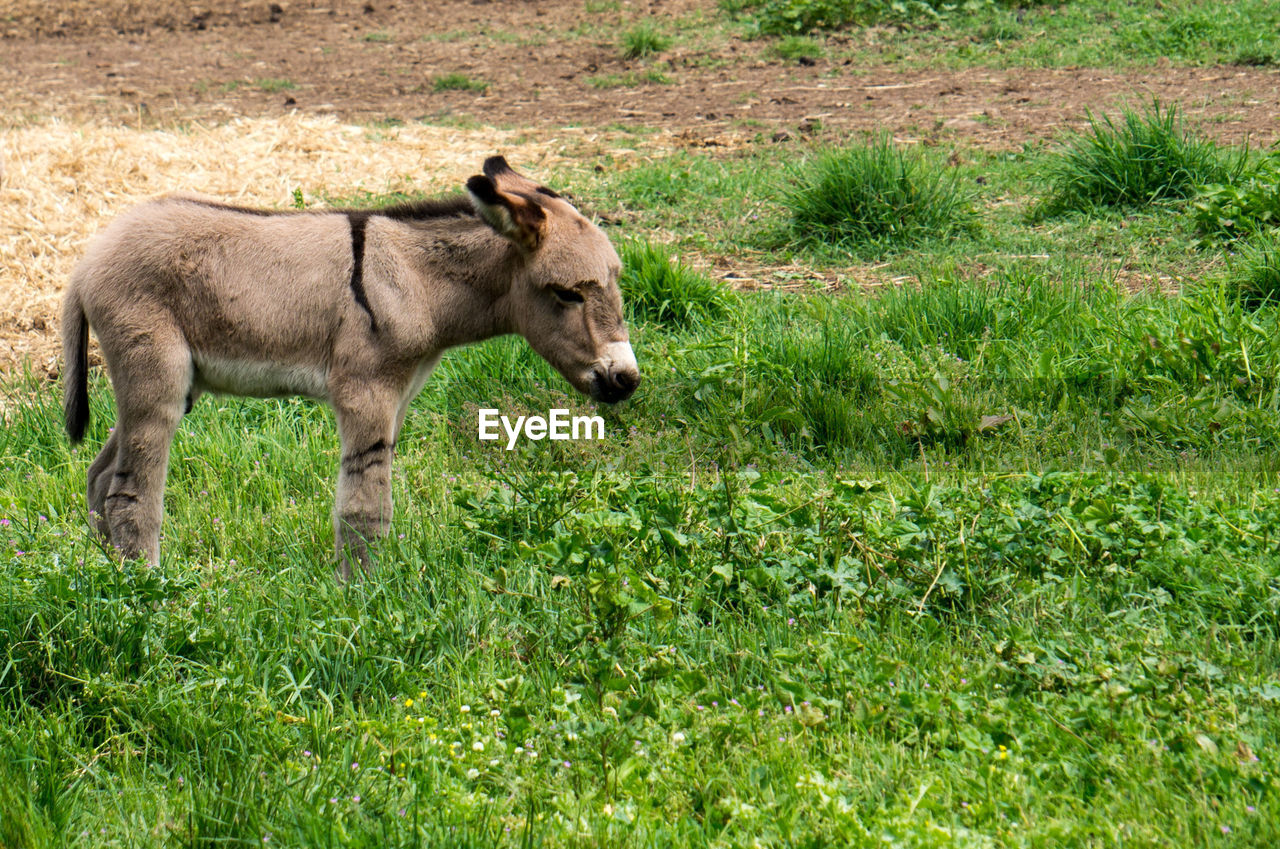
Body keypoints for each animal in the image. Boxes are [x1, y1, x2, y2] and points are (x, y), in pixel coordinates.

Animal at [62, 156, 640, 581]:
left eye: (616, 280)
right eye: (566, 294)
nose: (626, 379)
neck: (418, 281)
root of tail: (87, 262)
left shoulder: (401, 396)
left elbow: (372, 495)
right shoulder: (367, 393)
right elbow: (364, 507)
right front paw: (360, 597)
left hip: (168, 389)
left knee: (99, 476)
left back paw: (108, 577)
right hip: (155, 379)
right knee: (128, 490)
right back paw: (150, 594)